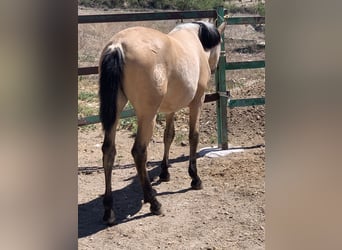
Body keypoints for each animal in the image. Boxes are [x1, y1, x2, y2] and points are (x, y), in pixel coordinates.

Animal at [99, 21, 227, 225]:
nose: (214, 68)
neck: (195, 39)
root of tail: (118, 46)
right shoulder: (197, 102)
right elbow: (193, 136)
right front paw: (195, 178)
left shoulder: (170, 108)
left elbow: (169, 136)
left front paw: (165, 172)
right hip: (147, 115)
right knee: (139, 151)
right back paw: (154, 203)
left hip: (116, 110)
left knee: (109, 151)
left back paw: (109, 210)